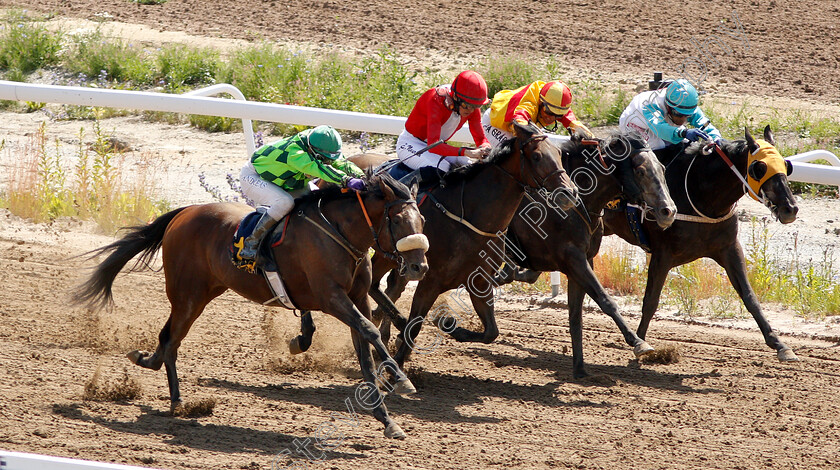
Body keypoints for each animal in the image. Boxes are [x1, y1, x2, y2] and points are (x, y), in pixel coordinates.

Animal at [69, 174, 430, 438]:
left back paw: (150, 365)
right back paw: (178, 401)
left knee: (167, 339)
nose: (419, 267)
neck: (338, 233)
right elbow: (371, 331)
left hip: (205, 291)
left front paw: (388, 420)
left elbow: (366, 351)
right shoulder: (331, 298)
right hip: (187, 294)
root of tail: (185, 212)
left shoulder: (356, 298)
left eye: (423, 220)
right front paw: (403, 381)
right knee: (171, 340)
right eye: (399, 220)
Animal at [496, 131, 680, 378]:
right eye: (640, 171)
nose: (668, 211)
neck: (575, 204)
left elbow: (576, 314)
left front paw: (580, 369)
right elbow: (606, 300)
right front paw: (638, 343)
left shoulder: (583, 261)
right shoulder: (573, 259)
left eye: (661, 167)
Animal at [604, 124, 800, 360]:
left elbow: (749, 296)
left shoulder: (729, 249)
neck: (699, 193)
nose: (790, 208)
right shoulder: (662, 254)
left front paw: (780, 345)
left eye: (786, 166)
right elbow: (651, 300)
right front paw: (640, 340)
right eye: (759, 168)